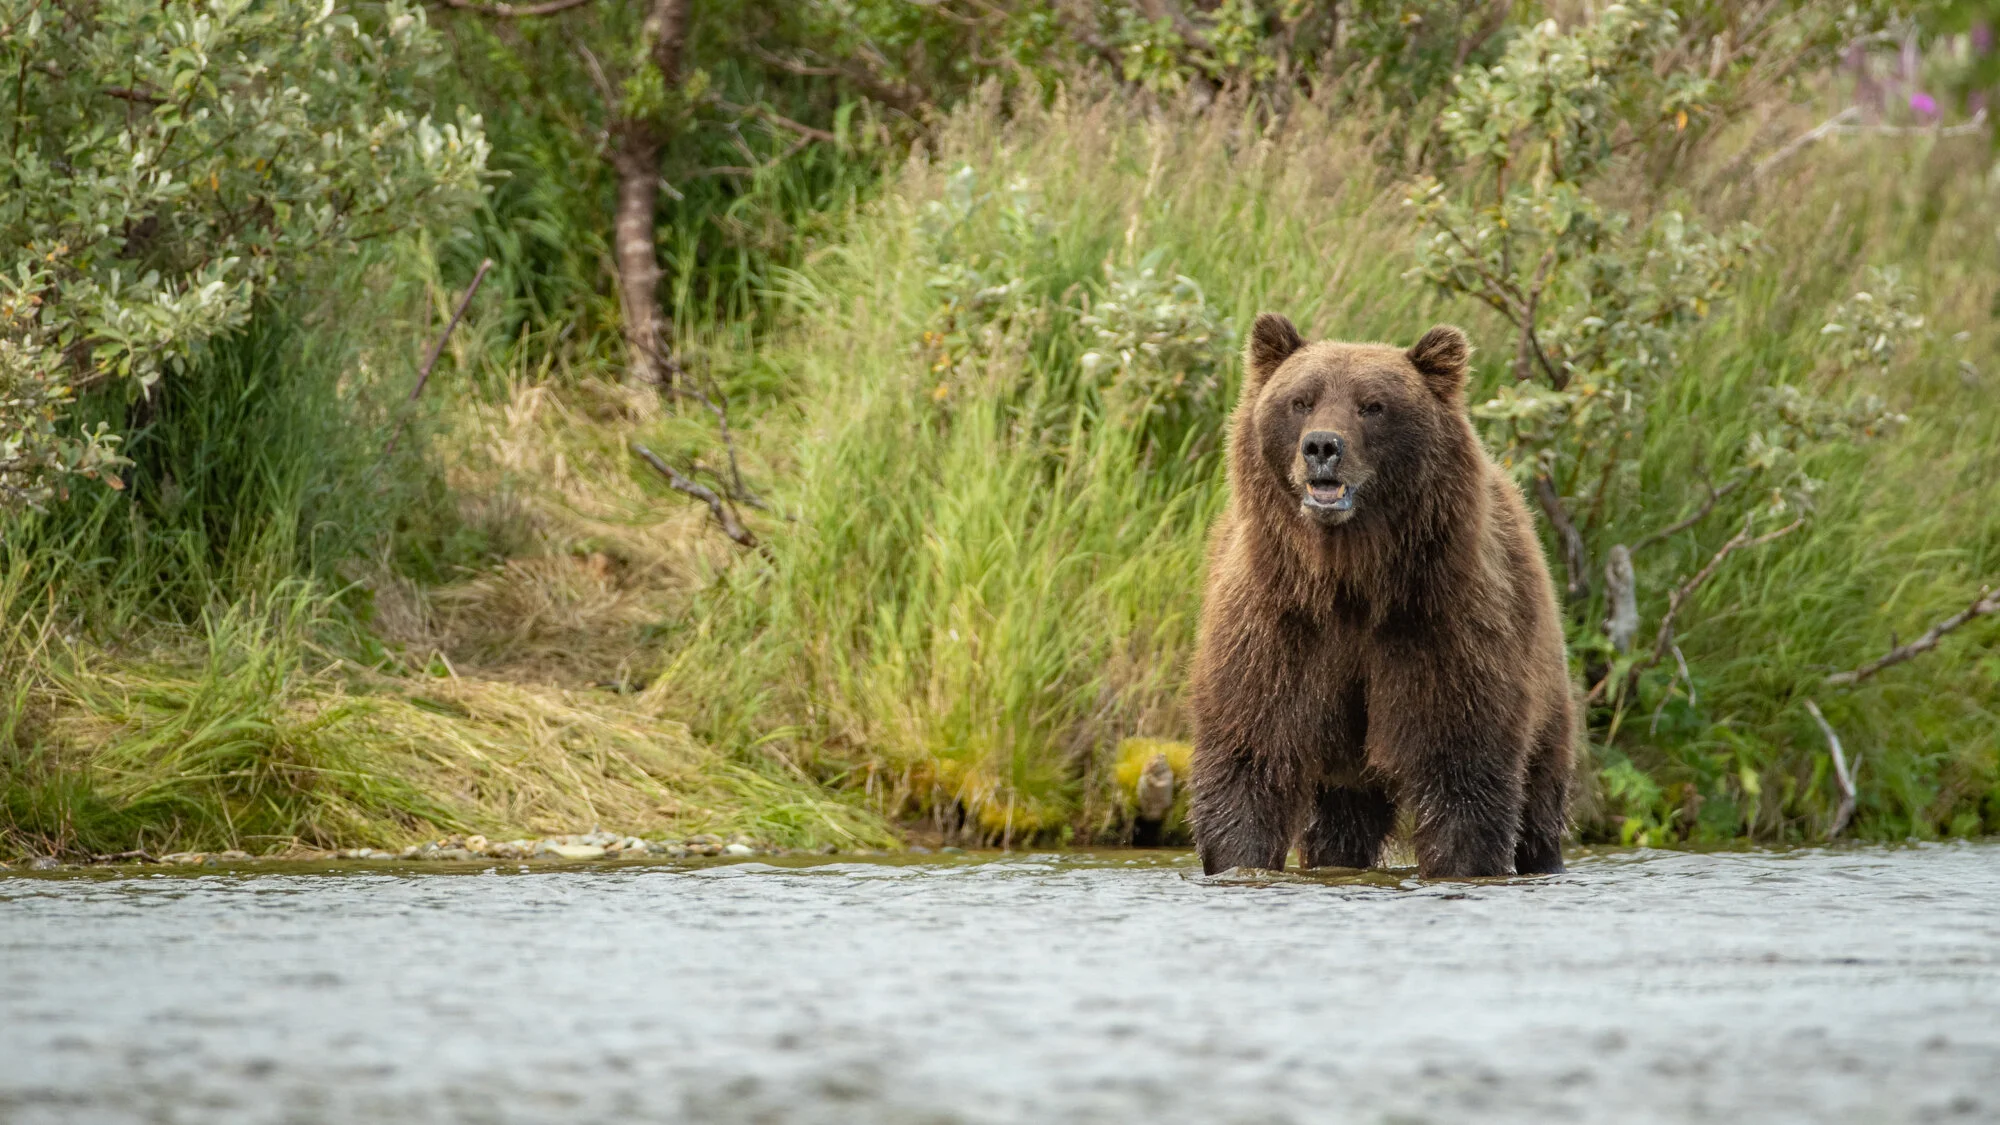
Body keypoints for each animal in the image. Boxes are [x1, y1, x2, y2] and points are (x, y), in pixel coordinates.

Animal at [1187, 314, 1573, 879]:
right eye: (1301, 400)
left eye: (1372, 405)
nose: (1322, 447)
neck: (1350, 578)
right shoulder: (1276, 625)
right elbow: (1248, 760)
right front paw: (1240, 859)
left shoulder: (1439, 627)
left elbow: (1461, 770)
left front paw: (1463, 861)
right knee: (1342, 821)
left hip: (1543, 674)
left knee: (1540, 799)